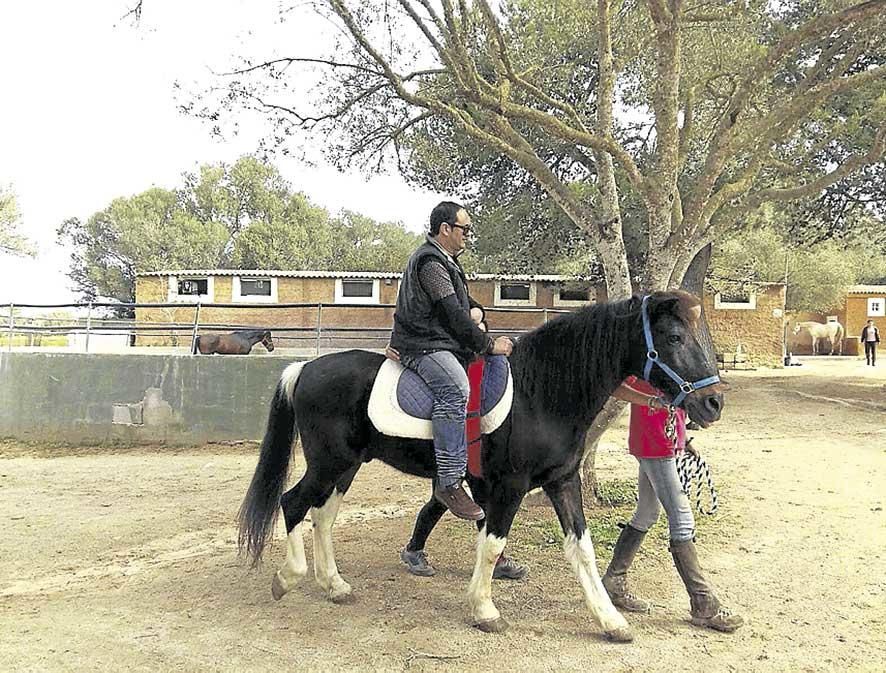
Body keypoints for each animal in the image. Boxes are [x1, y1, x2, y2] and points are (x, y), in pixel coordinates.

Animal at [239, 292, 724, 636]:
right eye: (675, 338)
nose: (713, 402)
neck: (540, 392)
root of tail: (303, 368)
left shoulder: (563, 483)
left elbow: (581, 549)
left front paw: (610, 620)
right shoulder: (508, 486)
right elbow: (491, 544)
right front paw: (484, 610)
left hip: (346, 466)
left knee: (323, 516)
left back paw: (334, 585)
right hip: (328, 462)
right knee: (292, 503)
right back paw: (289, 577)